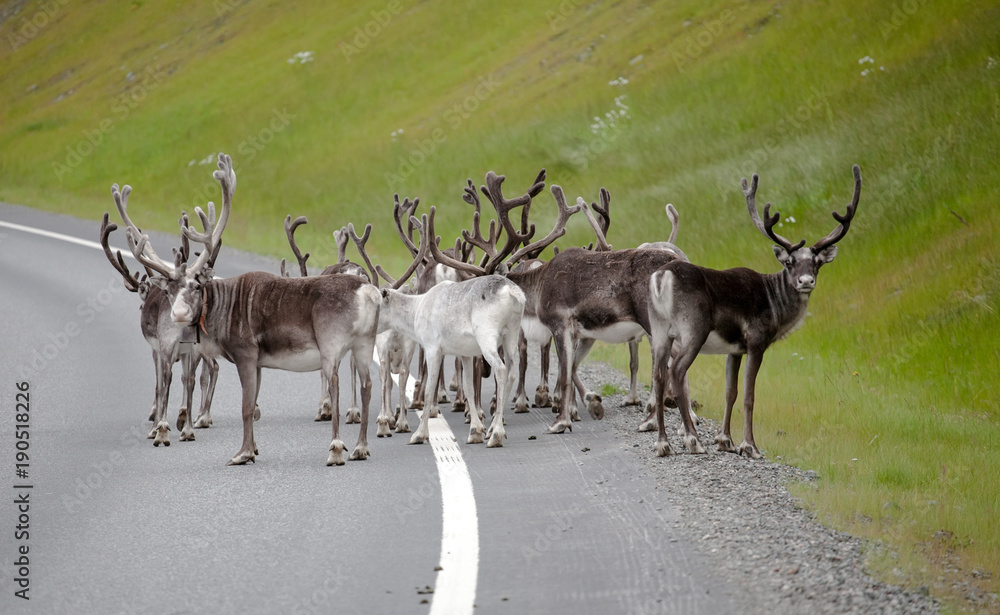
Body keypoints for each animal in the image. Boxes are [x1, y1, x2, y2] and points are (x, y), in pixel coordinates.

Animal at [99, 212, 220, 445]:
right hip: (194, 346)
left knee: (184, 375)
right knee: (199, 374)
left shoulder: (157, 349)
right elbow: (183, 380)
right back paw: (194, 421)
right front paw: (179, 416)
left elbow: (160, 385)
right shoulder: (183, 350)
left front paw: (157, 422)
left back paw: (177, 424)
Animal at [111, 153, 381, 466]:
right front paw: (253, 449)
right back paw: (361, 448)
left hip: (331, 342)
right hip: (364, 342)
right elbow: (253, 405)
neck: (221, 310)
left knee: (335, 381)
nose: (177, 314)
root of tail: (367, 290)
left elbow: (245, 407)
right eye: (167, 290)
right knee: (367, 385)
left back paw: (336, 449)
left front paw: (242, 453)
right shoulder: (260, 362)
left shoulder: (245, 353)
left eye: (195, 285)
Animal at [647, 165, 862, 458]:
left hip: (659, 331)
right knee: (676, 373)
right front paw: (749, 445)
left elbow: (730, 392)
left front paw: (724, 440)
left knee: (658, 375)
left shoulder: (734, 349)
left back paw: (662, 443)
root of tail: (661, 278)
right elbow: (749, 396)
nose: (806, 281)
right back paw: (692, 440)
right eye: (790, 262)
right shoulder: (756, 341)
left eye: (817, 263)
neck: (775, 305)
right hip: (692, 329)